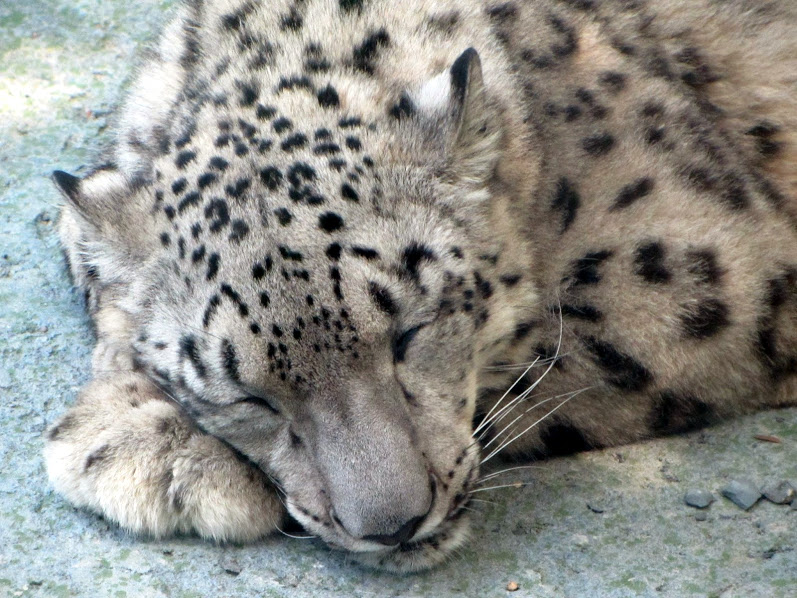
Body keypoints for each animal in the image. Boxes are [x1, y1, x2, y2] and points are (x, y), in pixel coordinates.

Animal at [44, 0, 797, 573]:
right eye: (248, 398)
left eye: (411, 333)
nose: (391, 525)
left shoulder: (702, 260)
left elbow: (543, 360)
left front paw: (158, 446)